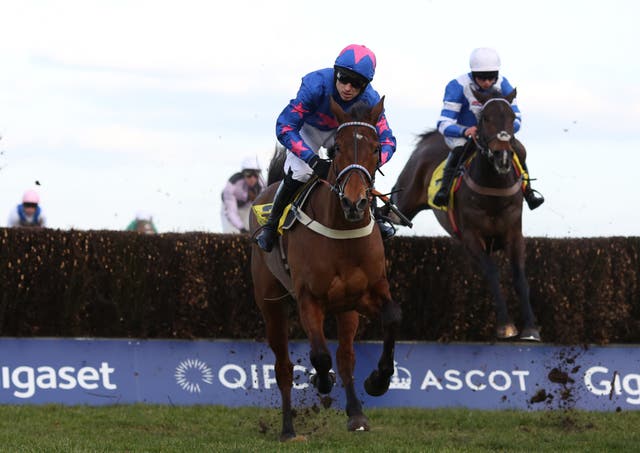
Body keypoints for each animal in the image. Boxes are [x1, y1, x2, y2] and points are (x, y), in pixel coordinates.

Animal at [250, 97, 400, 440]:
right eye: (336, 148)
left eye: (376, 148)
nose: (355, 203)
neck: (343, 232)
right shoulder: (309, 299)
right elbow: (319, 355)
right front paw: (321, 379)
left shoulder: (367, 294)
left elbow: (391, 321)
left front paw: (378, 381)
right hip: (270, 304)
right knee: (284, 367)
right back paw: (288, 429)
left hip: (345, 309)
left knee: (345, 358)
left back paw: (356, 414)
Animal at [390, 88, 540, 340]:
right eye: (485, 118)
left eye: (511, 117)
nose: (502, 157)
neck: (493, 191)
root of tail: (429, 139)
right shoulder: (472, 236)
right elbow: (492, 272)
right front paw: (506, 326)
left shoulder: (514, 234)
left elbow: (519, 276)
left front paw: (530, 328)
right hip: (403, 202)